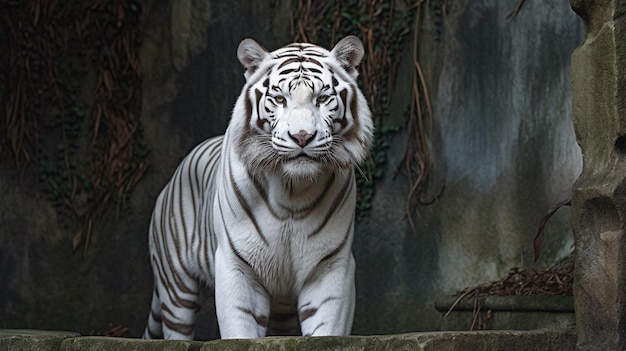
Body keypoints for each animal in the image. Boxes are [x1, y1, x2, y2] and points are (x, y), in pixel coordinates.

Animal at [143, 36, 370, 340]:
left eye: (322, 99)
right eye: (279, 99)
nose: (302, 137)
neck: (292, 191)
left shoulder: (330, 264)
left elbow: (326, 329)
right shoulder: (236, 264)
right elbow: (241, 330)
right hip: (175, 285)